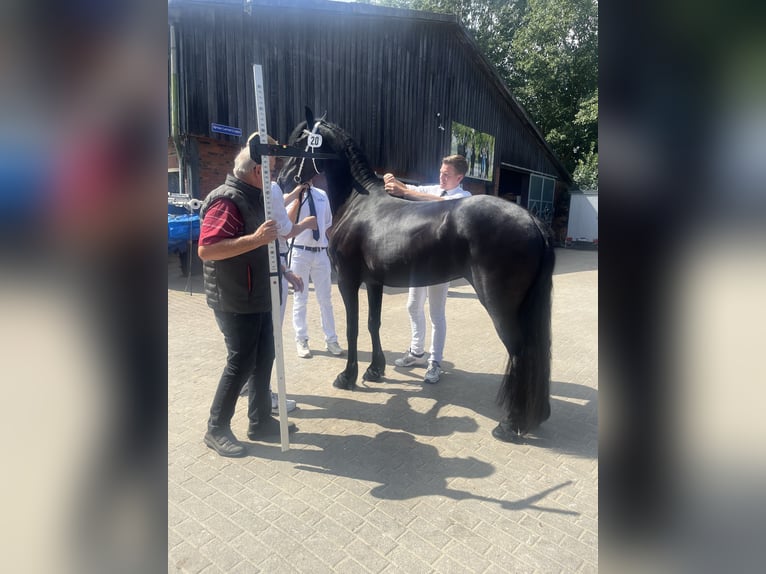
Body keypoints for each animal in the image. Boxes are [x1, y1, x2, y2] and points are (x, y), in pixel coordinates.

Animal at [280, 111, 556, 440]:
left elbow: (353, 328)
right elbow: (373, 324)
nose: (282, 179)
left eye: (300, 143)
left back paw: (511, 424)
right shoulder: (374, 283)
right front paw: (375, 370)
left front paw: (347, 377)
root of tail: (531, 220)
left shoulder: (348, 281)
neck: (359, 203)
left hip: (499, 305)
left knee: (520, 351)